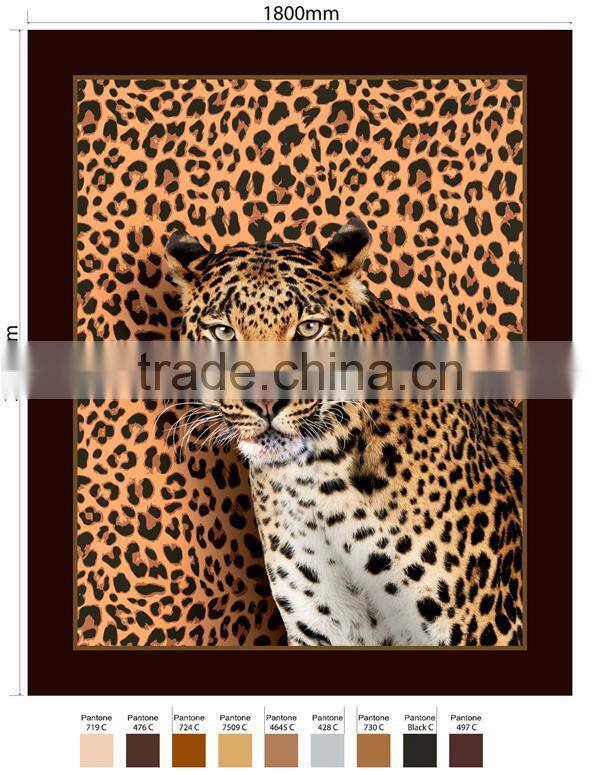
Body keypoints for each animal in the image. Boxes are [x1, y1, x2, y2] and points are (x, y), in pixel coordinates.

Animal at [165, 217, 523, 647]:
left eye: (308, 327)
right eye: (222, 330)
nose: (265, 401)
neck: (318, 483)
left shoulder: (485, 625)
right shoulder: (320, 627)